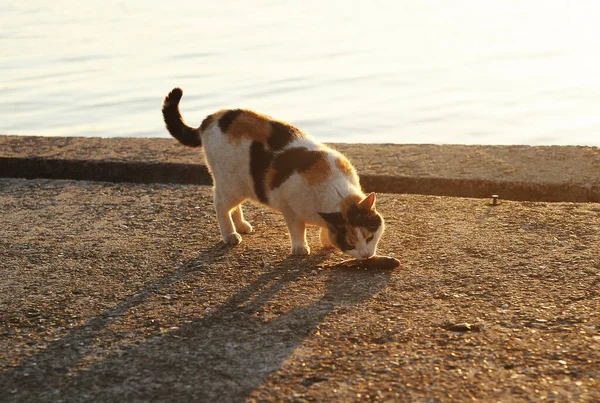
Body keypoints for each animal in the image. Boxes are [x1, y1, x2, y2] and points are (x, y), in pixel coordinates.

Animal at [161, 88, 384, 258]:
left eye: (370, 237)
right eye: (350, 243)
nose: (366, 255)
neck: (334, 192)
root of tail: (210, 119)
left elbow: (324, 227)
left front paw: (325, 240)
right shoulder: (289, 208)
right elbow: (297, 229)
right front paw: (301, 248)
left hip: (241, 187)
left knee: (234, 207)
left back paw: (241, 225)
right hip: (230, 185)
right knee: (221, 206)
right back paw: (230, 234)